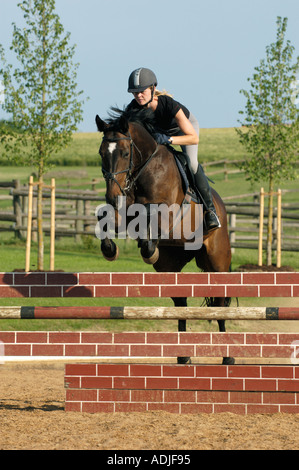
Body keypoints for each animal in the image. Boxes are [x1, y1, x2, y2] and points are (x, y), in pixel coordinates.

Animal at [96, 108, 234, 366]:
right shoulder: (124, 212)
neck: (143, 169)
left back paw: (228, 357)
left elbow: (149, 218)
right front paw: (110, 250)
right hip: (170, 265)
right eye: (101, 153)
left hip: (217, 261)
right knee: (180, 303)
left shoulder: (166, 213)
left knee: (220, 304)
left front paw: (147, 248)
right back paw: (183, 355)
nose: (112, 196)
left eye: (125, 153)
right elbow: (105, 217)